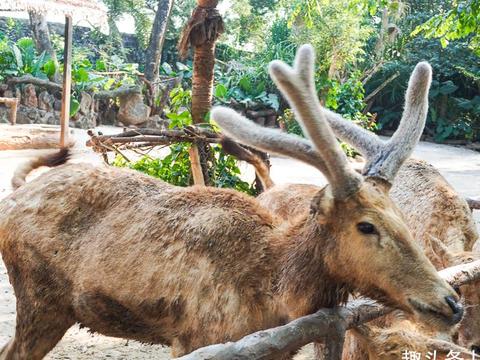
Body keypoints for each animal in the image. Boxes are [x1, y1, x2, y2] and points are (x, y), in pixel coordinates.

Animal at [0, 45, 462, 360]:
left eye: (402, 216)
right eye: (366, 225)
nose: (451, 303)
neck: (277, 296)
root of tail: (12, 197)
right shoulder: (196, 340)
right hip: (41, 300)